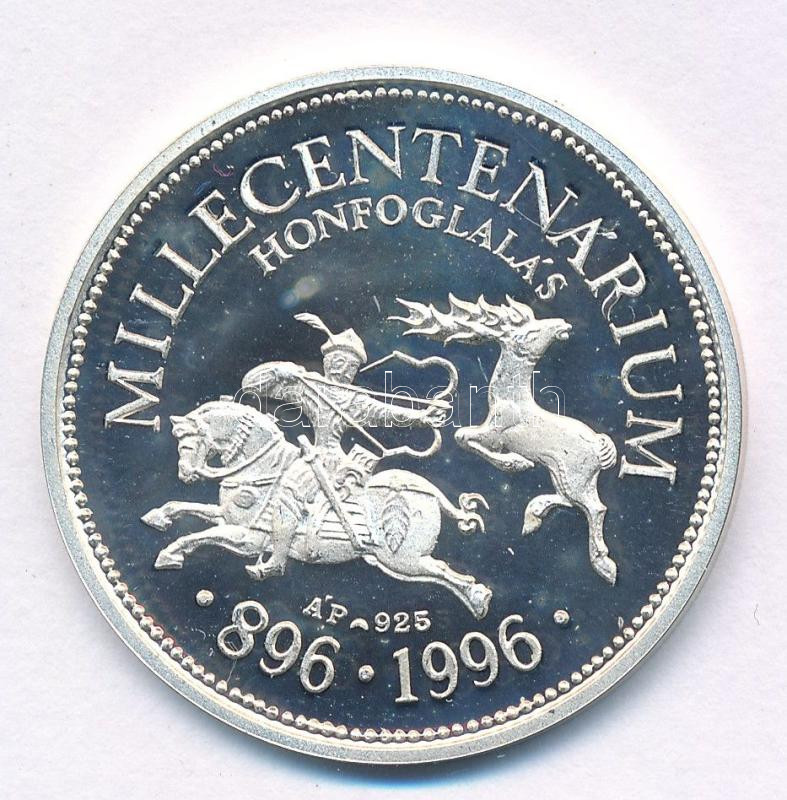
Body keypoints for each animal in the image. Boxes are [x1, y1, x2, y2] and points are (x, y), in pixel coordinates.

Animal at [141, 400, 492, 618]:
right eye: (178, 441)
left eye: (189, 441)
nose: (186, 475)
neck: (262, 466)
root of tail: (431, 491)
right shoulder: (228, 517)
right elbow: (185, 507)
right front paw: (158, 516)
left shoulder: (247, 538)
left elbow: (196, 536)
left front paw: (168, 554)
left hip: (402, 560)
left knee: (445, 572)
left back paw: (479, 600)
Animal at [393, 294, 619, 584]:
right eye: (531, 331)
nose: (563, 324)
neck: (508, 400)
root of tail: (600, 444)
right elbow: (463, 436)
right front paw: (519, 463)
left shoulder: (496, 434)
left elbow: (462, 435)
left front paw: (516, 463)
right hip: (566, 474)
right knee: (575, 502)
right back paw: (534, 515)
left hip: (575, 474)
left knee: (594, 508)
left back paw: (604, 565)